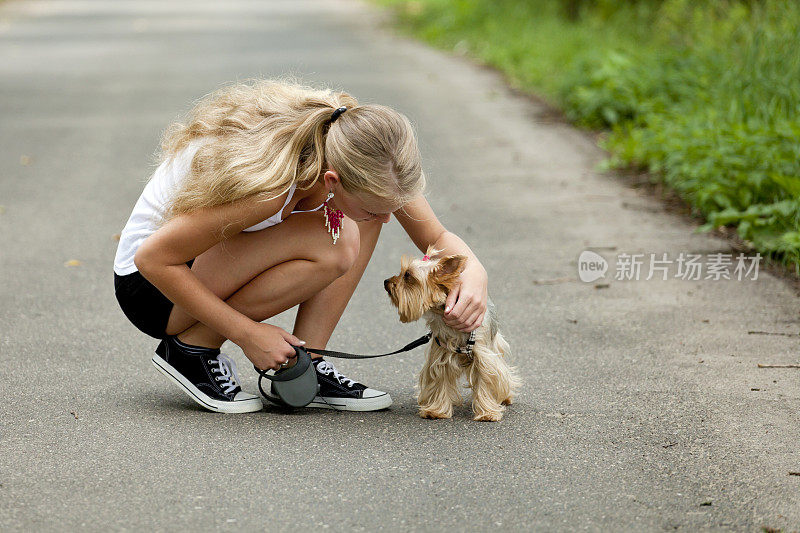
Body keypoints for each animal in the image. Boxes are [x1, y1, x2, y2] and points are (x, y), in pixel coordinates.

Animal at [384, 244, 520, 420]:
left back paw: (505, 397)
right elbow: (438, 380)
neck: (440, 313)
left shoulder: (484, 356)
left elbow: (486, 379)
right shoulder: (439, 355)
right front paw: (435, 411)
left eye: (408, 275)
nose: (386, 281)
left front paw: (487, 413)